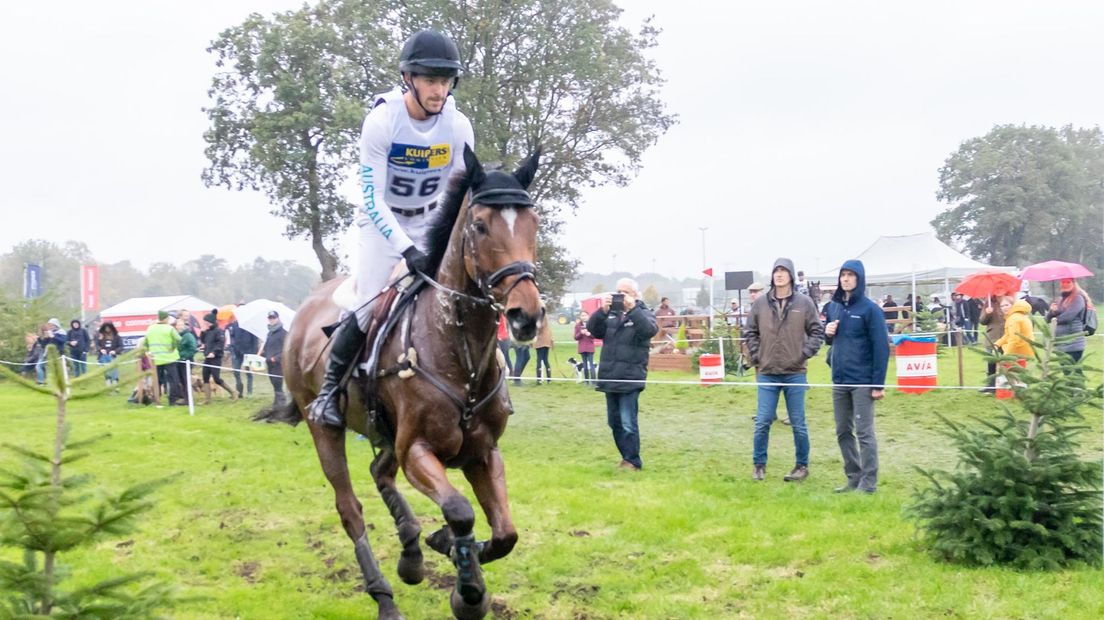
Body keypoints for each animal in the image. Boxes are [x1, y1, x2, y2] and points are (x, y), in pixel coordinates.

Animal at [263, 146, 547, 613]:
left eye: (533, 222)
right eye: (480, 225)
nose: (527, 316)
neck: (460, 355)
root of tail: (301, 314)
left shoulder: (483, 453)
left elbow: (505, 533)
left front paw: (448, 551)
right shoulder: (417, 449)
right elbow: (460, 511)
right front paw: (468, 591)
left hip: (384, 431)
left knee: (380, 471)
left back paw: (411, 554)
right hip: (324, 428)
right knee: (350, 507)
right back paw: (385, 597)